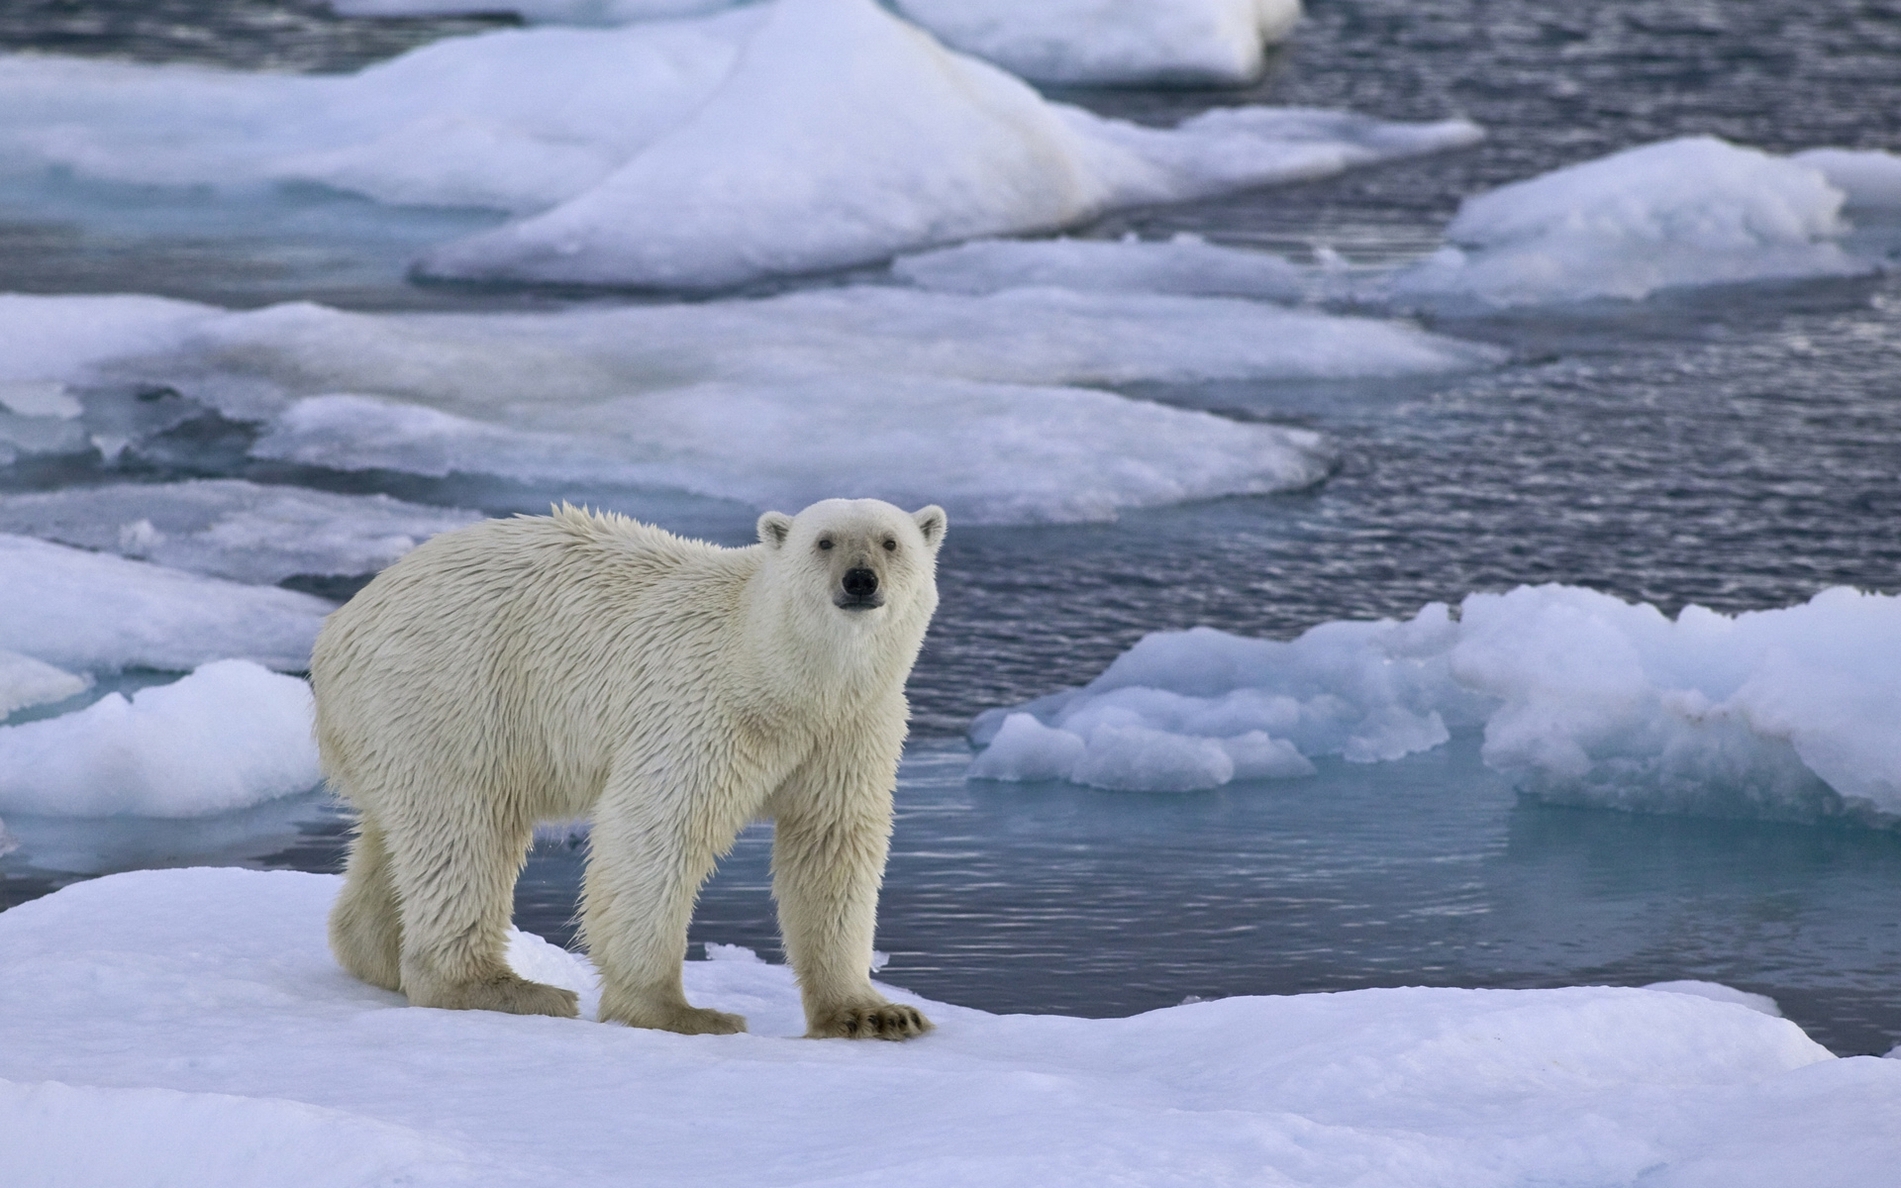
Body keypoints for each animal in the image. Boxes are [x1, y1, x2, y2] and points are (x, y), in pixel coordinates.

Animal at [309, 498, 950, 1034]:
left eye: (890, 541)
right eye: (825, 541)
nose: (860, 580)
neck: (781, 677)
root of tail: (340, 626)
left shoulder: (850, 732)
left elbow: (833, 846)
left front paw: (876, 1014)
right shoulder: (702, 707)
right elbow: (658, 831)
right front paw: (682, 1012)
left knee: (398, 835)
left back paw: (377, 953)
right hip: (452, 693)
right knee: (465, 830)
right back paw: (506, 988)